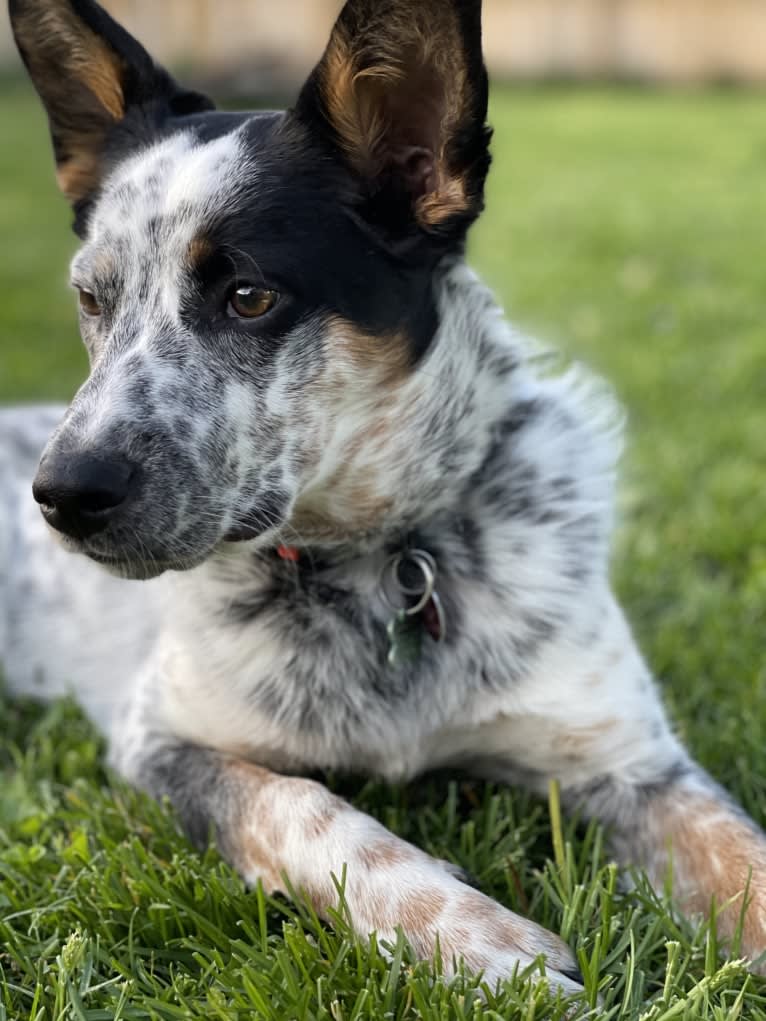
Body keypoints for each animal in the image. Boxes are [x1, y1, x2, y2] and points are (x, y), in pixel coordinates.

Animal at [1, 0, 766, 996]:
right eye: (93, 299)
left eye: (249, 294)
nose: (61, 493)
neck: (379, 557)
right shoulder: (161, 740)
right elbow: (309, 808)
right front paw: (483, 941)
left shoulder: (633, 761)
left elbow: (745, 857)